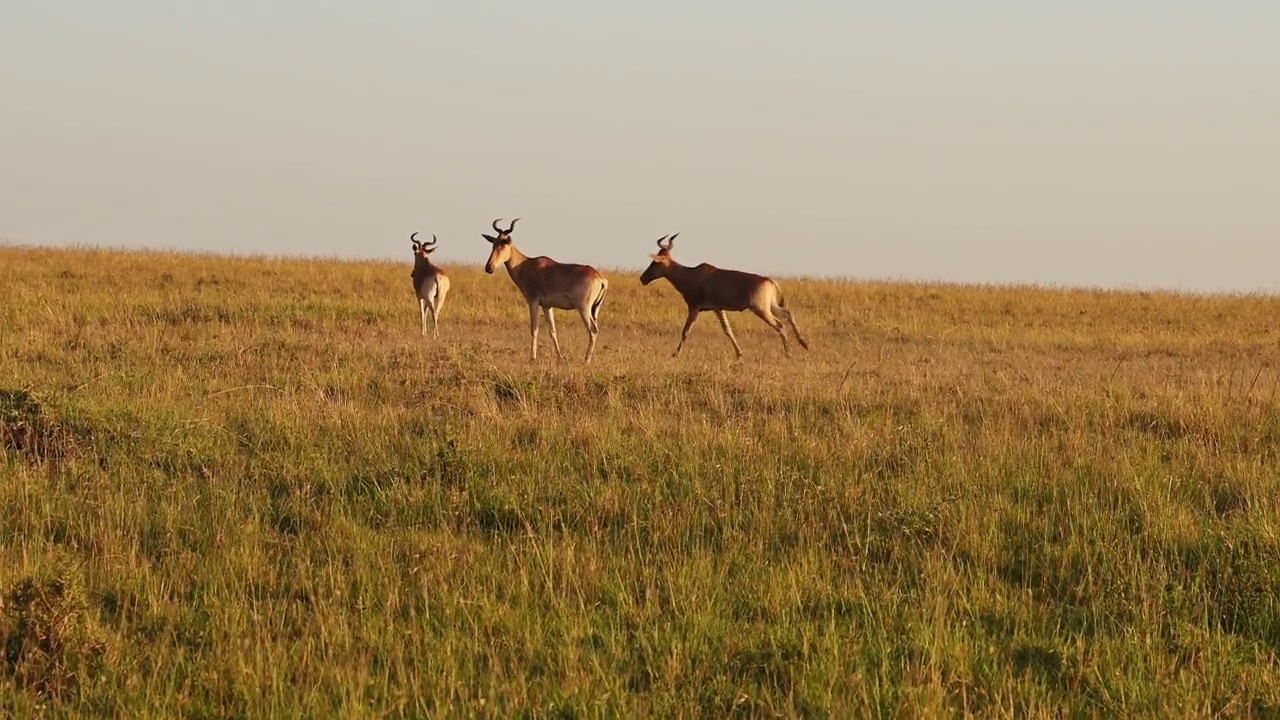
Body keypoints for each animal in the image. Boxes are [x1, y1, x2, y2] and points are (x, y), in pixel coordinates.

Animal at [483, 215, 614, 361]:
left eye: (504, 244)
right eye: (494, 244)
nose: (489, 268)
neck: (526, 264)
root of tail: (600, 278)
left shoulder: (533, 301)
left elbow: (534, 329)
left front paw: (532, 357)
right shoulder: (547, 306)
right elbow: (552, 330)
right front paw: (560, 356)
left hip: (583, 308)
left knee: (593, 330)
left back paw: (586, 360)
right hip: (594, 309)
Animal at [640, 234, 808, 356]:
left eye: (655, 262)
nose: (643, 279)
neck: (692, 274)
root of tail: (768, 280)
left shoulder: (695, 308)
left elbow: (685, 332)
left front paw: (675, 354)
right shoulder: (718, 308)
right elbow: (728, 330)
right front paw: (739, 354)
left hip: (760, 309)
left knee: (780, 325)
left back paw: (789, 354)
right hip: (771, 306)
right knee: (788, 313)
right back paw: (804, 343)